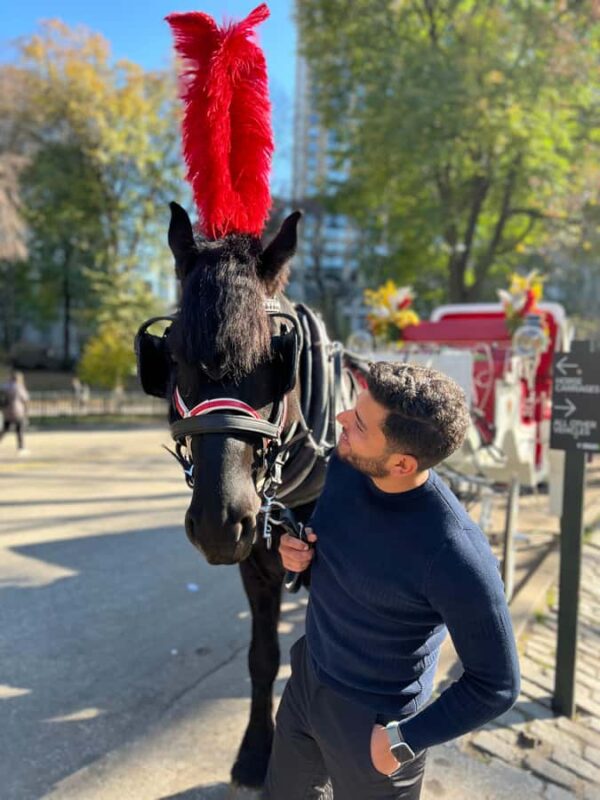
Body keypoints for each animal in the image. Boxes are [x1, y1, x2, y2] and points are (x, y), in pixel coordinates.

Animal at [135, 201, 359, 791]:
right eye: (173, 357)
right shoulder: (256, 564)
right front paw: (257, 752)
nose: (220, 520)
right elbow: (263, 657)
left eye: (277, 360)